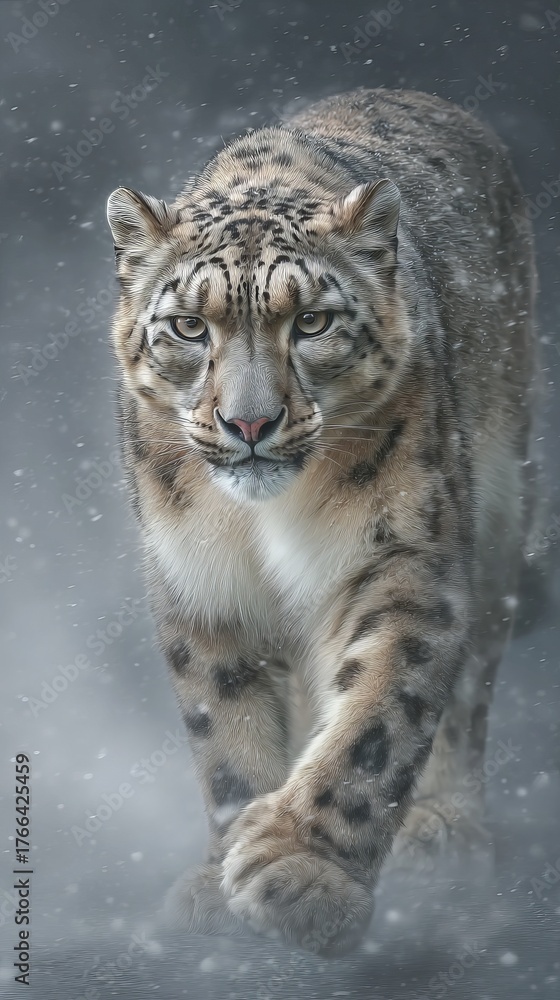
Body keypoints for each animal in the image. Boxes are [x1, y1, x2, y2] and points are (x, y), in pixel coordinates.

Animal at [106, 87, 540, 955]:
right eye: (189, 327)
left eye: (311, 322)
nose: (248, 423)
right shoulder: (199, 584)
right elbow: (225, 728)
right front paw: (222, 875)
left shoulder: (399, 556)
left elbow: (378, 713)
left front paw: (301, 873)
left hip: (500, 517)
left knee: (468, 685)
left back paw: (443, 826)